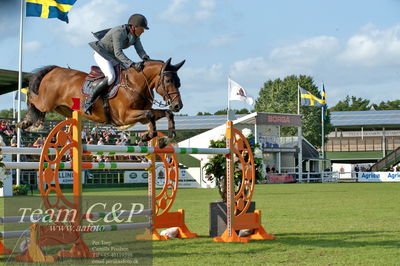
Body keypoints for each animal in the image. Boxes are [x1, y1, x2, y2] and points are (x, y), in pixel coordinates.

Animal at [19, 58, 185, 147]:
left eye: (179, 81)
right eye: (168, 81)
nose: (178, 106)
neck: (134, 84)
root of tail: (54, 70)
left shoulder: (141, 117)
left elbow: (166, 114)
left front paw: (165, 139)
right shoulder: (125, 117)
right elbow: (150, 114)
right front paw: (148, 136)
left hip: (63, 108)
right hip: (46, 102)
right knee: (32, 99)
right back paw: (29, 122)